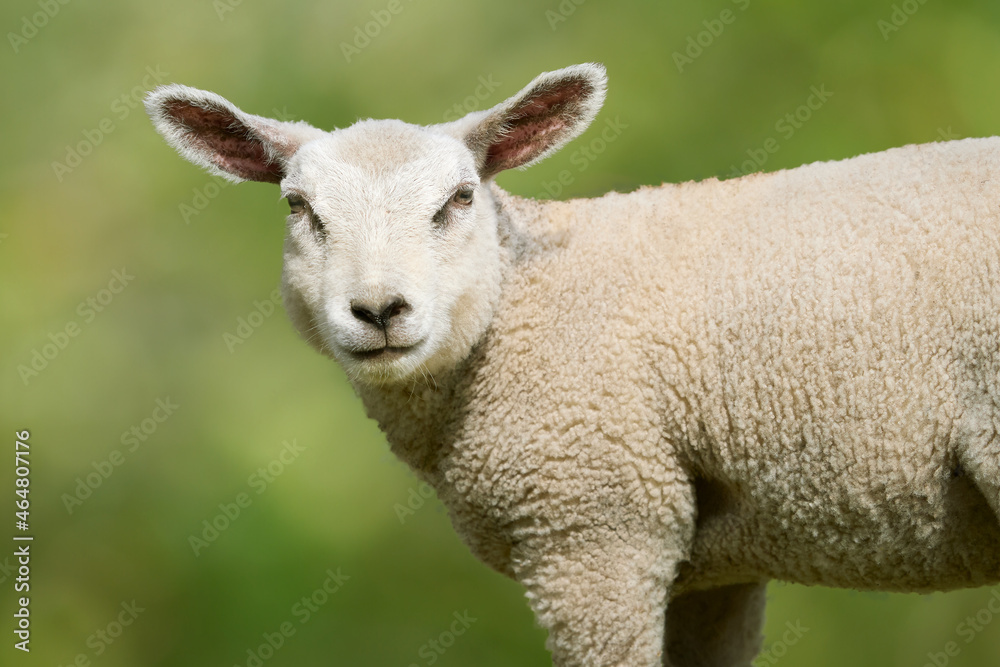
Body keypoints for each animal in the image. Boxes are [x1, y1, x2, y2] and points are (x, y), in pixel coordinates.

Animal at [145, 64, 1000, 667]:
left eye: (459, 198)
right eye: (299, 207)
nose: (380, 310)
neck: (516, 306)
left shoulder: (593, 525)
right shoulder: (712, 562)